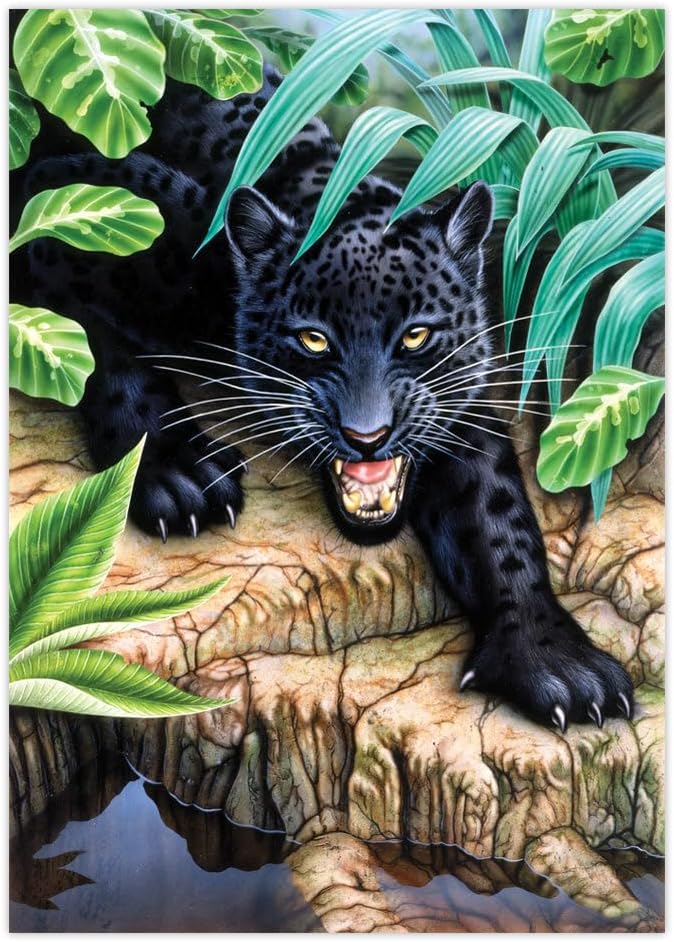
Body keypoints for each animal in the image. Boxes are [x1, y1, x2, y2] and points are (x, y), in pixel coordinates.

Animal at [11, 66, 633, 732]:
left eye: (416, 334)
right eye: (313, 339)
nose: (368, 435)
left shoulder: (458, 403)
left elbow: (499, 517)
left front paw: (555, 663)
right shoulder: (58, 215)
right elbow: (90, 348)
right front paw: (180, 475)